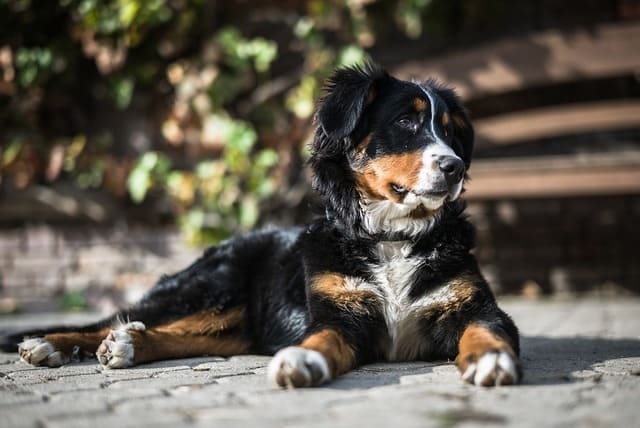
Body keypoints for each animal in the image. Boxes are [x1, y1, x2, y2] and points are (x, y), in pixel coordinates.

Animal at [1, 63, 520, 388]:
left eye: (450, 130)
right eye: (407, 122)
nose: (454, 166)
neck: (392, 238)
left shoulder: (475, 306)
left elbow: (486, 330)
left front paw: (490, 359)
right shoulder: (339, 315)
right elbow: (321, 338)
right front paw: (303, 360)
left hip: (233, 320)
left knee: (177, 334)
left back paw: (127, 346)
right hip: (212, 286)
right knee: (115, 319)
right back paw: (48, 345)